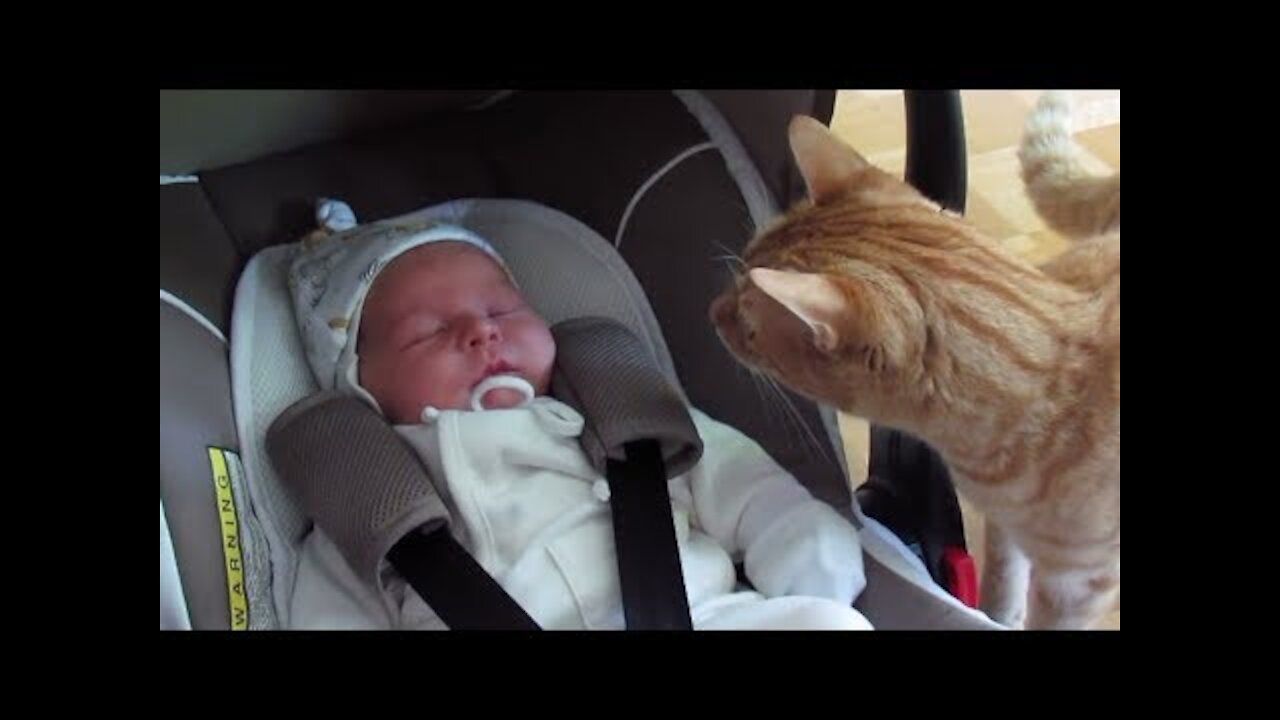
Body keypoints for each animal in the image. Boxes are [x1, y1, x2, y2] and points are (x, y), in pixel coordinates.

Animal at [711, 92, 1121, 625]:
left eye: (749, 324)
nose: (711, 312)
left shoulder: (1078, 585)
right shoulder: (1005, 529)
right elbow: (1004, 578)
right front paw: (996, 614)